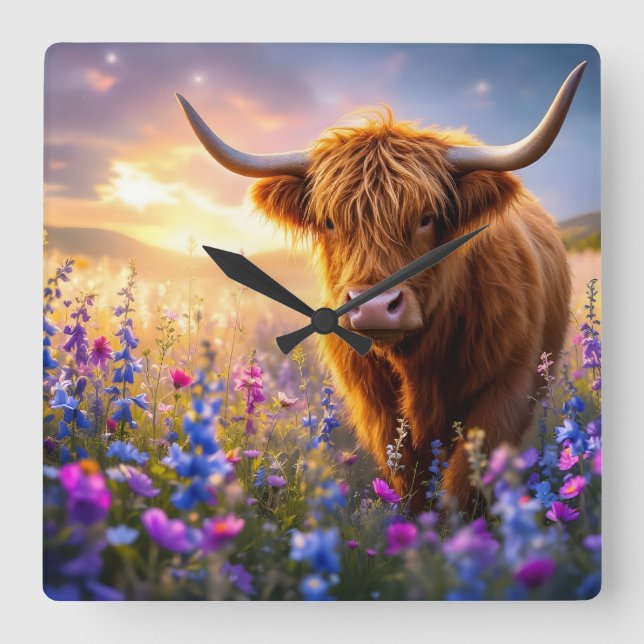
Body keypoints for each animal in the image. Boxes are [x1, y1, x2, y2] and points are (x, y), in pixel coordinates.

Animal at [176, 61, 585, 513]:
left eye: (426, 217)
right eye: (330, 221)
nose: (373, 308)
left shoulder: (507, 388)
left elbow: (463, 484)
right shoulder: (374, 405)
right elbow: (407, 479)